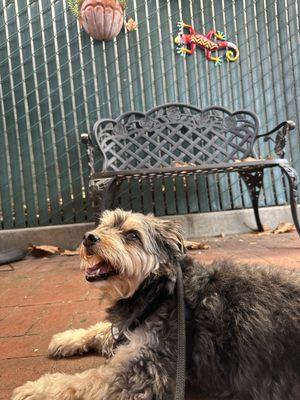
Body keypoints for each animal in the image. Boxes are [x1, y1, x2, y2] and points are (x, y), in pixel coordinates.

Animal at [12, 209, 300, 400]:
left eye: (132, 235)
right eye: (104, 226)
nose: (88, 237)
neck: (158, 292)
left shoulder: (143, 372)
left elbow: (83, 381)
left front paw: (36, 388)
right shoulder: (130, 330)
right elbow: (104, 329)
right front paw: (67, 338)